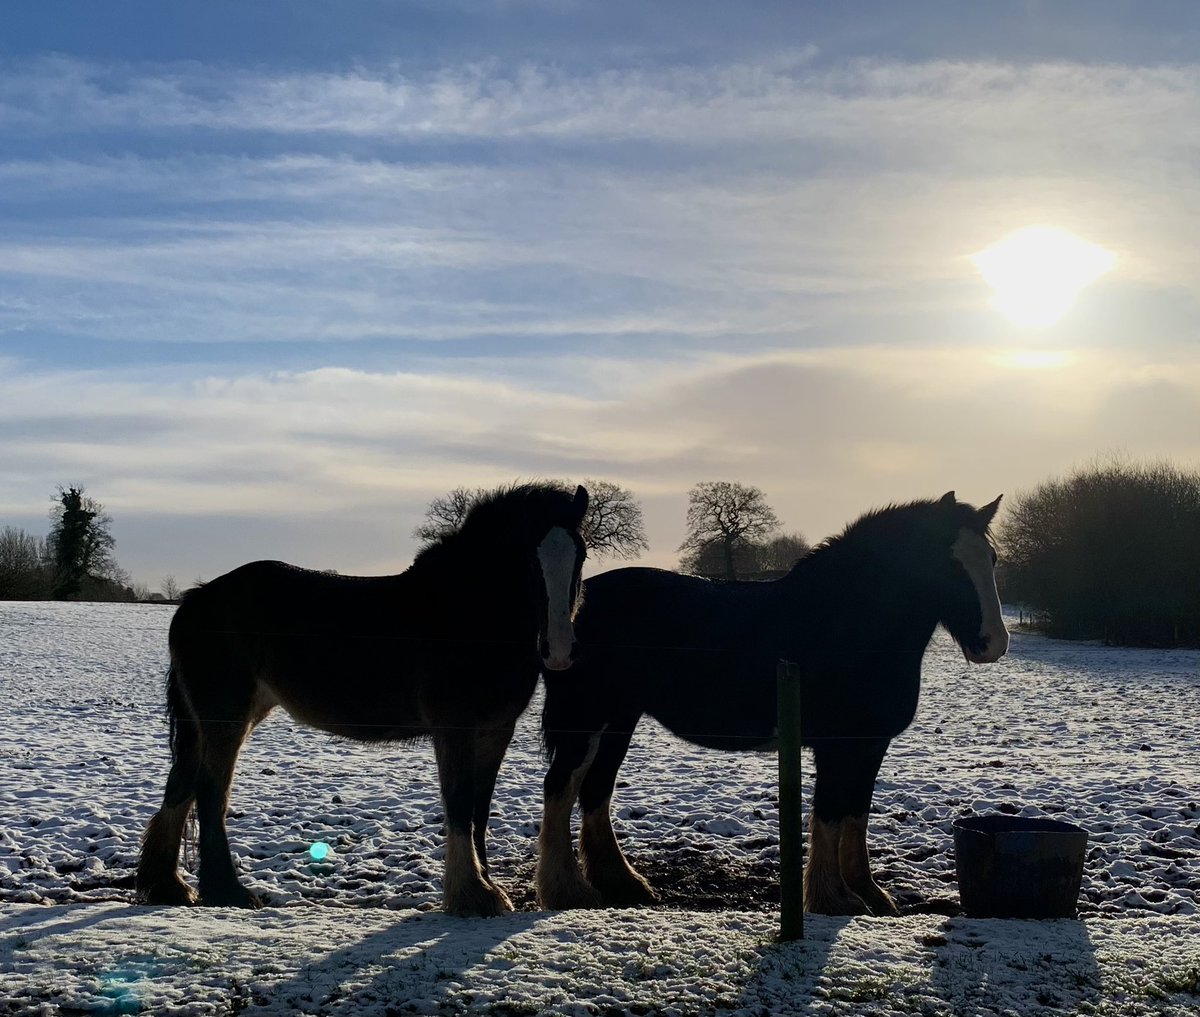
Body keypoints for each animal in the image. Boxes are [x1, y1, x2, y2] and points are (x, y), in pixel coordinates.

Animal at [138, 479, 588, 916]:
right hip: (225, 716)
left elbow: (479, 809)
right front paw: (471, 896)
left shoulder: (496, 730)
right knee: (210, 790)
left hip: (222, 717)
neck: (467, 616)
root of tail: (196, 599)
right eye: (530, 562)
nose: (559, 651)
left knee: (181, 784)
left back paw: (169, 886)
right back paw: (227, 891)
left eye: (581, 557)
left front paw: (488, 888)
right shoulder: (455, 728)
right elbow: (459, 804)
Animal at [540, 491, 1008, 911]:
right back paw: (566, 891)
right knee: (560, 787)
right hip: (584, 719)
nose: (994, 643)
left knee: (595, 790)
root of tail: (566, 618)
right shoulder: (837, 746)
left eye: (992, 559)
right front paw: (833, 899)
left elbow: (857, 813)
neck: (846, 624)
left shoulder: (870, 744)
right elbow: (830, 814)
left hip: (619, 719)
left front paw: (871, 894)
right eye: (948, 563)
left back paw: (622, 883)